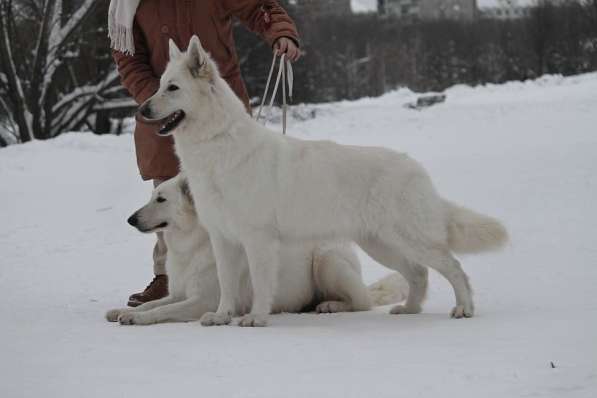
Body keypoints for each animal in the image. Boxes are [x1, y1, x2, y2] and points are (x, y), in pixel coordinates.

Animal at [106, 176, 406, 324]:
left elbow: (161, 311)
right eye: (151, 197)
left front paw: (137, 318)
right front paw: (123, 311)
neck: (192, 245)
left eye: (161, 199)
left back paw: (331, 305)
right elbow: (156, 303)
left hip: (326, 261)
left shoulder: (204, 301)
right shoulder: (179, 294)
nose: (130, 219)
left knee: (362, 301)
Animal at [136, 35, 508, 326]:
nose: (141, 110)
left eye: (173, 88)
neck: (217, 145)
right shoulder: (223, 239)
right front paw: (222, 315)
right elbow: (226, 286)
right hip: (381, 244)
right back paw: (410, 309)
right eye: (159, 85)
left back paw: (464, 308)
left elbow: (260, 283)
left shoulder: (257, 239)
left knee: (453, 266)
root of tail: (416, 167)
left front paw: (255, 317)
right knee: (418, 273)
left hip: (405, 240)